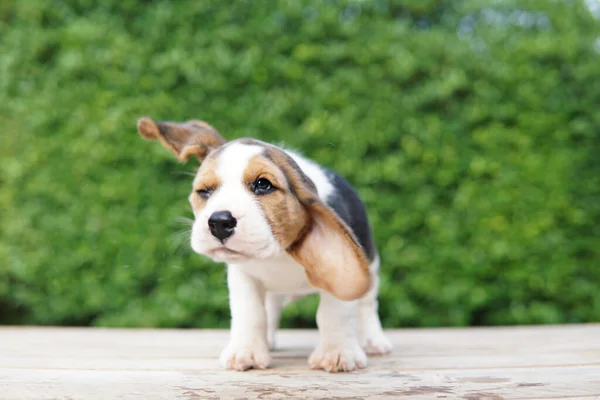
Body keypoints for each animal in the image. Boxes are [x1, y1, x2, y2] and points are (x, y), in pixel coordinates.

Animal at [137, 115, 392, 372]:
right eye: (204, 191)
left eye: (263, 184)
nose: (219, 222)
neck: (278, 252)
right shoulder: (243, 277)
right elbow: (250, 313)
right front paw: (246, 352)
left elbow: (334, 312)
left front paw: (337, 353)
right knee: (271, 308)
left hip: (371, 267)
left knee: (367, 306)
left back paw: (373, 341)